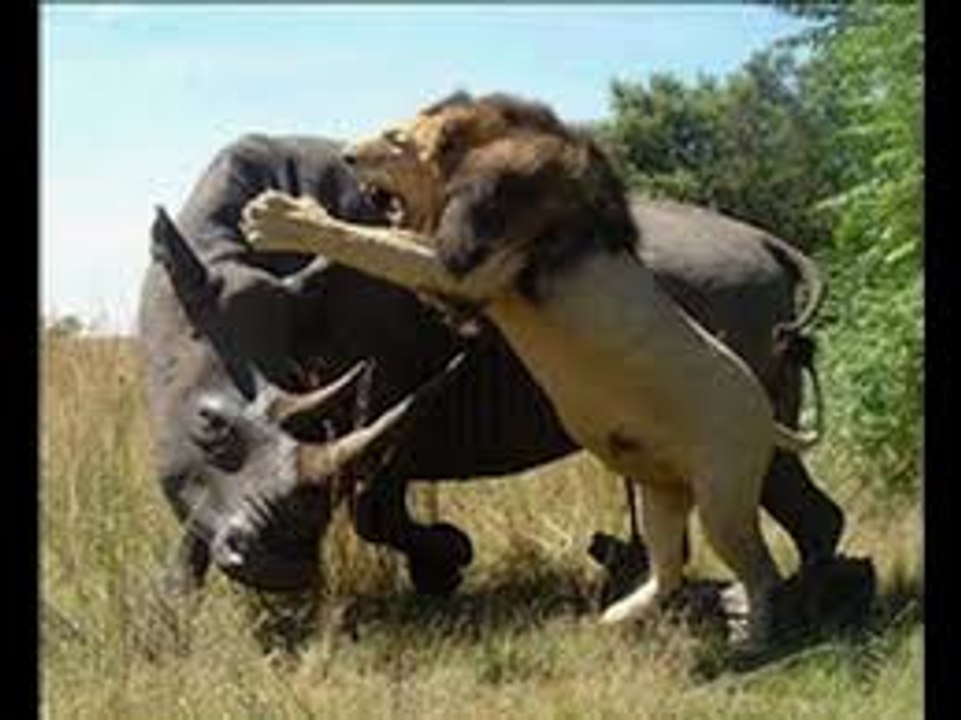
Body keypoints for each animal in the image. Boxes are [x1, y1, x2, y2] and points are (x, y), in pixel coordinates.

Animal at [139, 133, 843, 596]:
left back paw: (807, 602)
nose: (281, 570)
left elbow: (374, 509)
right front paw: (172, 610)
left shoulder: (391, 389)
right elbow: (191, 502)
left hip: (731, 304)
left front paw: (447, 562)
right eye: (209, 424)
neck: (223, 250)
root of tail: (773, 245)